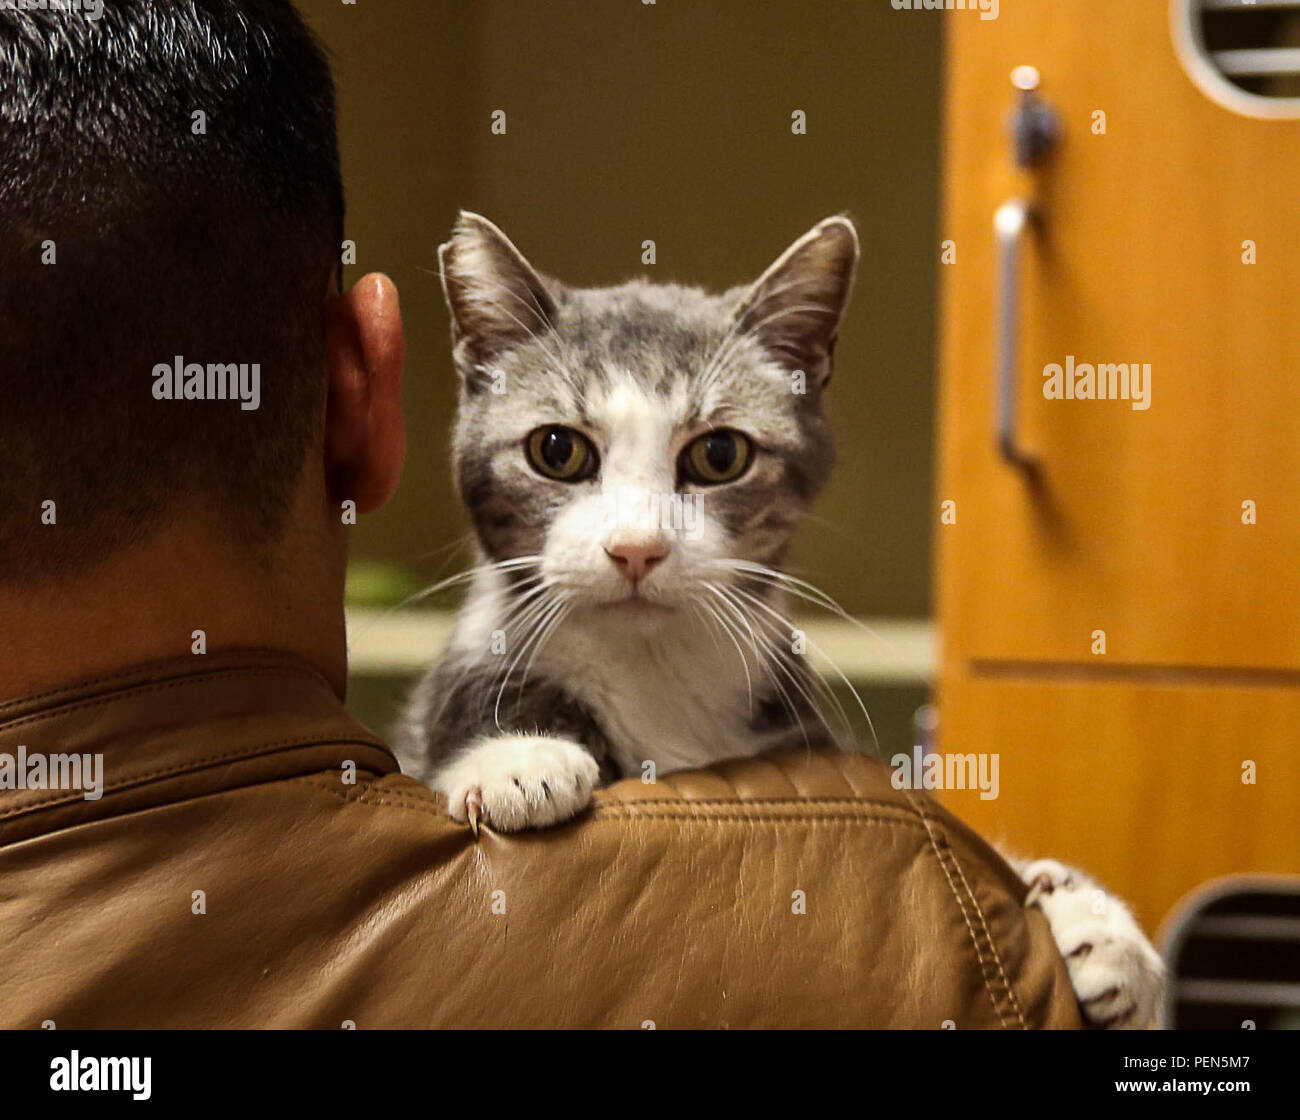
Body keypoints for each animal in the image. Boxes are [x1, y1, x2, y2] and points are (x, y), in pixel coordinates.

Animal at [397, 210, 1170, 1023]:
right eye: (556, 449)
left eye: (719, 454)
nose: (637, 547)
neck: (652, 672)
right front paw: (517, 759)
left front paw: (1093, 921)